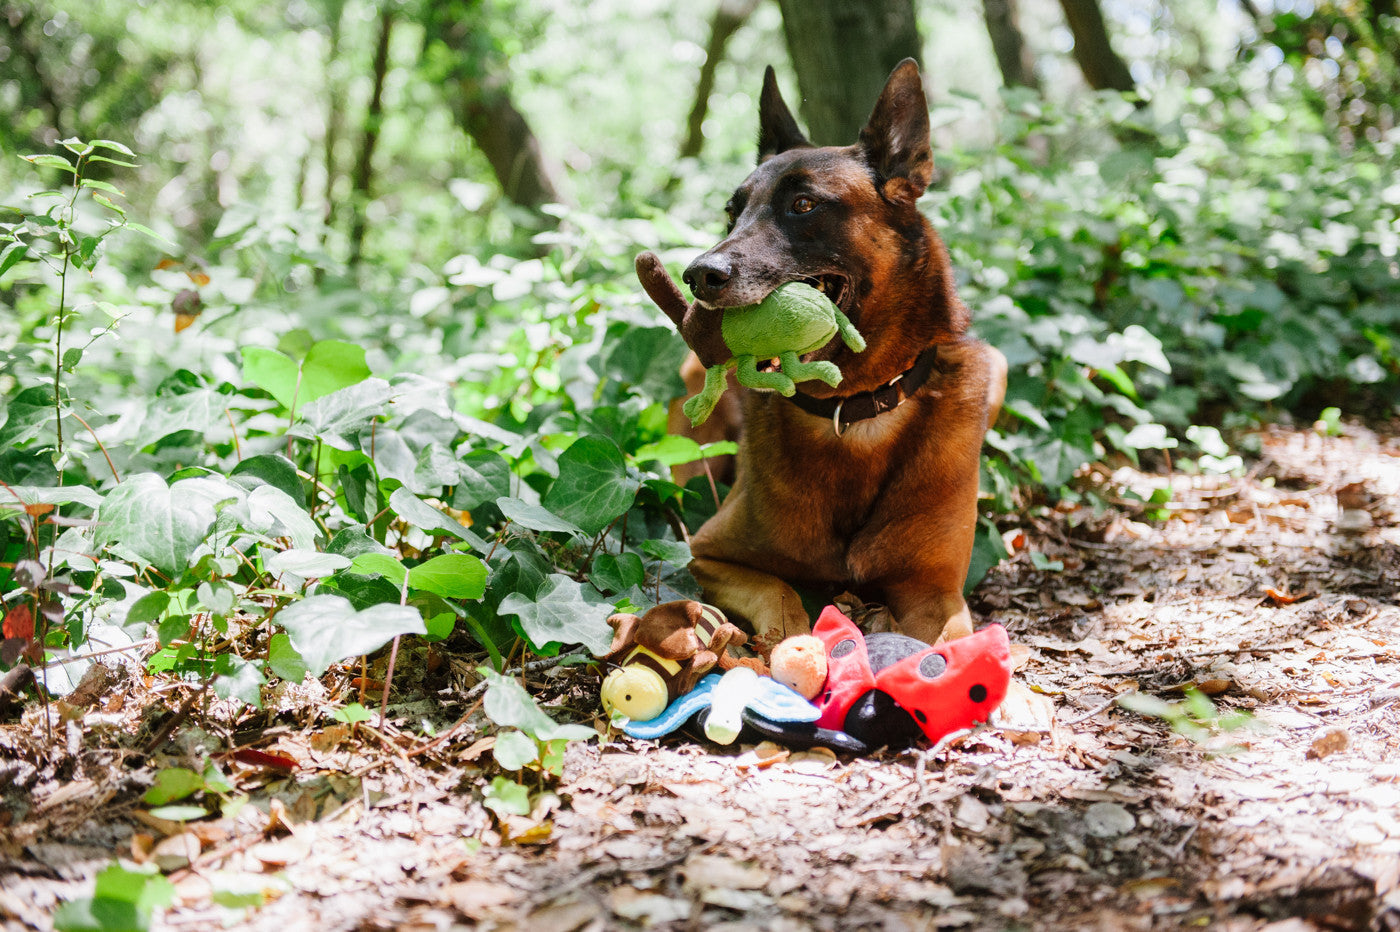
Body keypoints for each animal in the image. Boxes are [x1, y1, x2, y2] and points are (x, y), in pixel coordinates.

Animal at [635, 61, 1008, 649]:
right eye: (731, 214)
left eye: (804, 205)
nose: (699, 276)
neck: (853, 413)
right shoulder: (705, 554)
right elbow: (779, 594)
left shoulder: (937, 594)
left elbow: (944, 646)